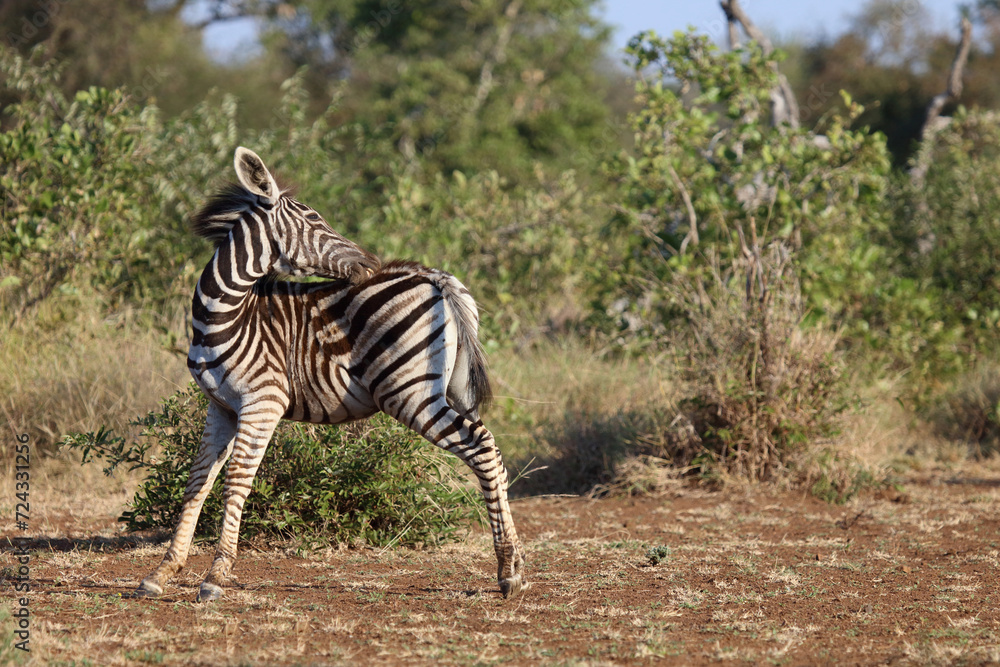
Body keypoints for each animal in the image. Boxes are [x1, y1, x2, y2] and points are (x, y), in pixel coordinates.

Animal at [132, 147, 526, 602]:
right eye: (315, 220)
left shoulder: (263, 402)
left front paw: (216, 575)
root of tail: (435, 276)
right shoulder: (221, 406)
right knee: (492, 456)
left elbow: (236, 482)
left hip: (409, 393)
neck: (224, 313)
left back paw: (507, 571)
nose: (372, 264)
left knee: (480, 447)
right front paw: (163, 570)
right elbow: (198, 481)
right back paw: (516, 565)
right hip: (453, 389)